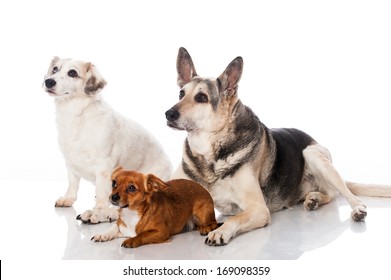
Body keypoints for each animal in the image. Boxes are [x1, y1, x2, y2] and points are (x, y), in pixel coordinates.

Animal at [43, 57, 173, 223]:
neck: (76, 114)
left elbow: (101, 193)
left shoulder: (103, 166)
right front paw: (68, 198)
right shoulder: (70, 162)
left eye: (72, 73)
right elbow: (72, 184)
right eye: (55, 69)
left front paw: (98, 211)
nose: (48, 81)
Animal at [92, 166, 220, 247]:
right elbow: (113, 227)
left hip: (202, 214)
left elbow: (142, 234)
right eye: (114, 183)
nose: (113, 197)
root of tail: (203, 188)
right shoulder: (121, 225)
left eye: (131, 188)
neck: (131, 213)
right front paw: (102, 235)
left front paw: (131, 240)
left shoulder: (161, 232)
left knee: (213, 223)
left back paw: (205, 228)